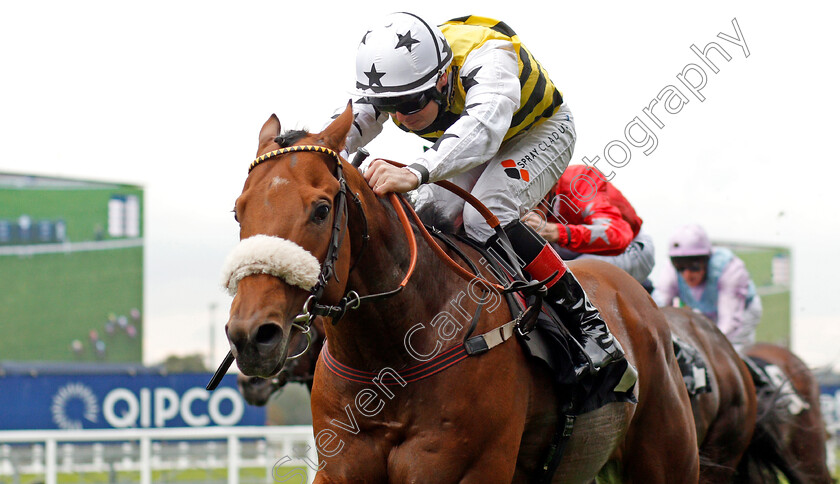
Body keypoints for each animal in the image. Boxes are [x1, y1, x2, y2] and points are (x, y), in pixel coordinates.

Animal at [220, 107, 700, 484]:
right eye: (238, 212)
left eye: (321, 210)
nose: (251, 336)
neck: (392, 355)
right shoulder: (340, 466)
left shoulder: (463, 468)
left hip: (668, 457)